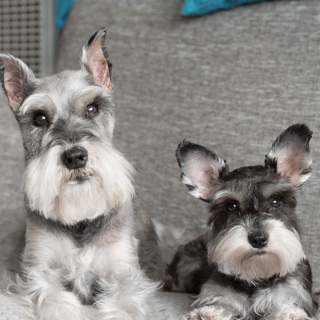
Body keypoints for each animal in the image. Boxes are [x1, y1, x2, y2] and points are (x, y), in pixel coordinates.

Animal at [0, 28, 166, 320]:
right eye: (39, 118)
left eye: (92, 108)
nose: (75, 157)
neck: (80, 220)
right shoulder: (39, 271)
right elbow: (53, 299)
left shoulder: (126, 278)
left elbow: (124, 306)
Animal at [166, 124, 318, 318]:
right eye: (231, 206)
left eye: (276, 202)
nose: (258, 239)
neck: (257, 276)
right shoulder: (218, 294)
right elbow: (220, 304)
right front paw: (206, 314)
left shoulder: (294, 294)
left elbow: (287, 307)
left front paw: (290, 315)